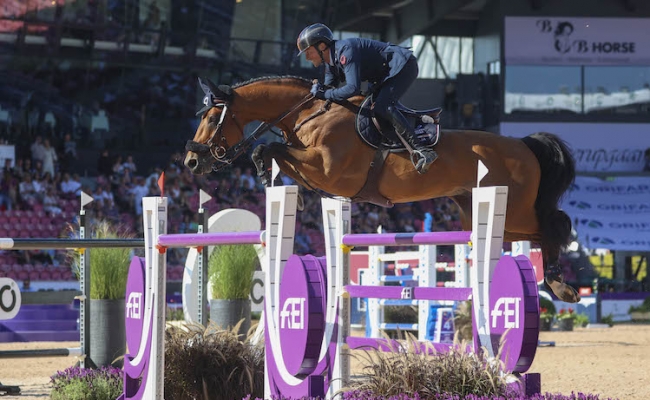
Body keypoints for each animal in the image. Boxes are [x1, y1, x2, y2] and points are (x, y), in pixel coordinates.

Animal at [182, 75, 576, 304]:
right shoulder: (318, 173)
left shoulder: (326, 169)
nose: (191, 162)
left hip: (513, 207)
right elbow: (273, 152)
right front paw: (269, 174)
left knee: (553, 226)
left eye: (210, 118)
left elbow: (270, 148)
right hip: (489, 217)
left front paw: (266, 169)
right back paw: (558, 284)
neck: (309, 113)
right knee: (540, 232)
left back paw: (560, 285)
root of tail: (523, 144)